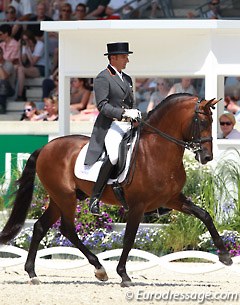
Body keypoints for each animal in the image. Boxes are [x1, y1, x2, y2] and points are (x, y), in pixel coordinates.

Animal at [0, 92, 232, 284]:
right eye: (202, 121)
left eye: (213, 122)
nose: (207, 157)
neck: (156, 151)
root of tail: (46, 147)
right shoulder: (138, 205)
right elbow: (129, 237)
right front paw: (123, 274)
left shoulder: (172, 199)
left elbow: (204, 215)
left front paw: (225, 255)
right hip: (65, 197)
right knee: (67, 229)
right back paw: (99, 269)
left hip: (60, 198)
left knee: (41, 226)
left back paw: (32, 273)